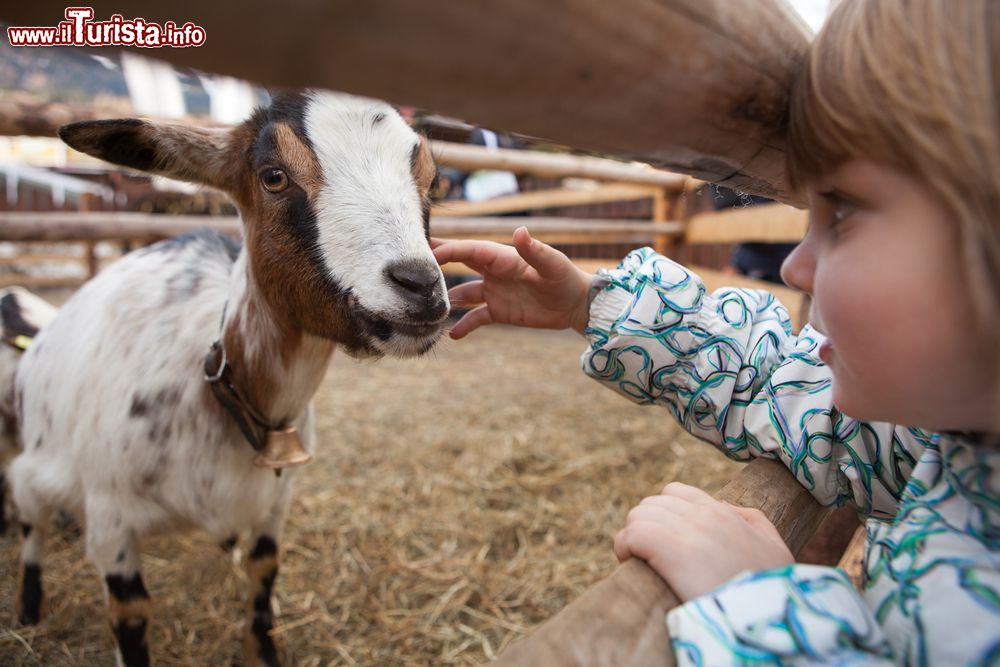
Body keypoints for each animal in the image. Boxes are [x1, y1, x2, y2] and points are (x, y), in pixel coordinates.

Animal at [9, 90, 448, 667]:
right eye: (273, 176)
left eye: (433, 180)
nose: (420, 286)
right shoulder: (110, 522)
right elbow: (131, 615)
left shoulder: (276, 502)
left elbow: (263, 571)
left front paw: (263, 649)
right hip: (37, 466)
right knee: (28, 518)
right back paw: (29, 605)